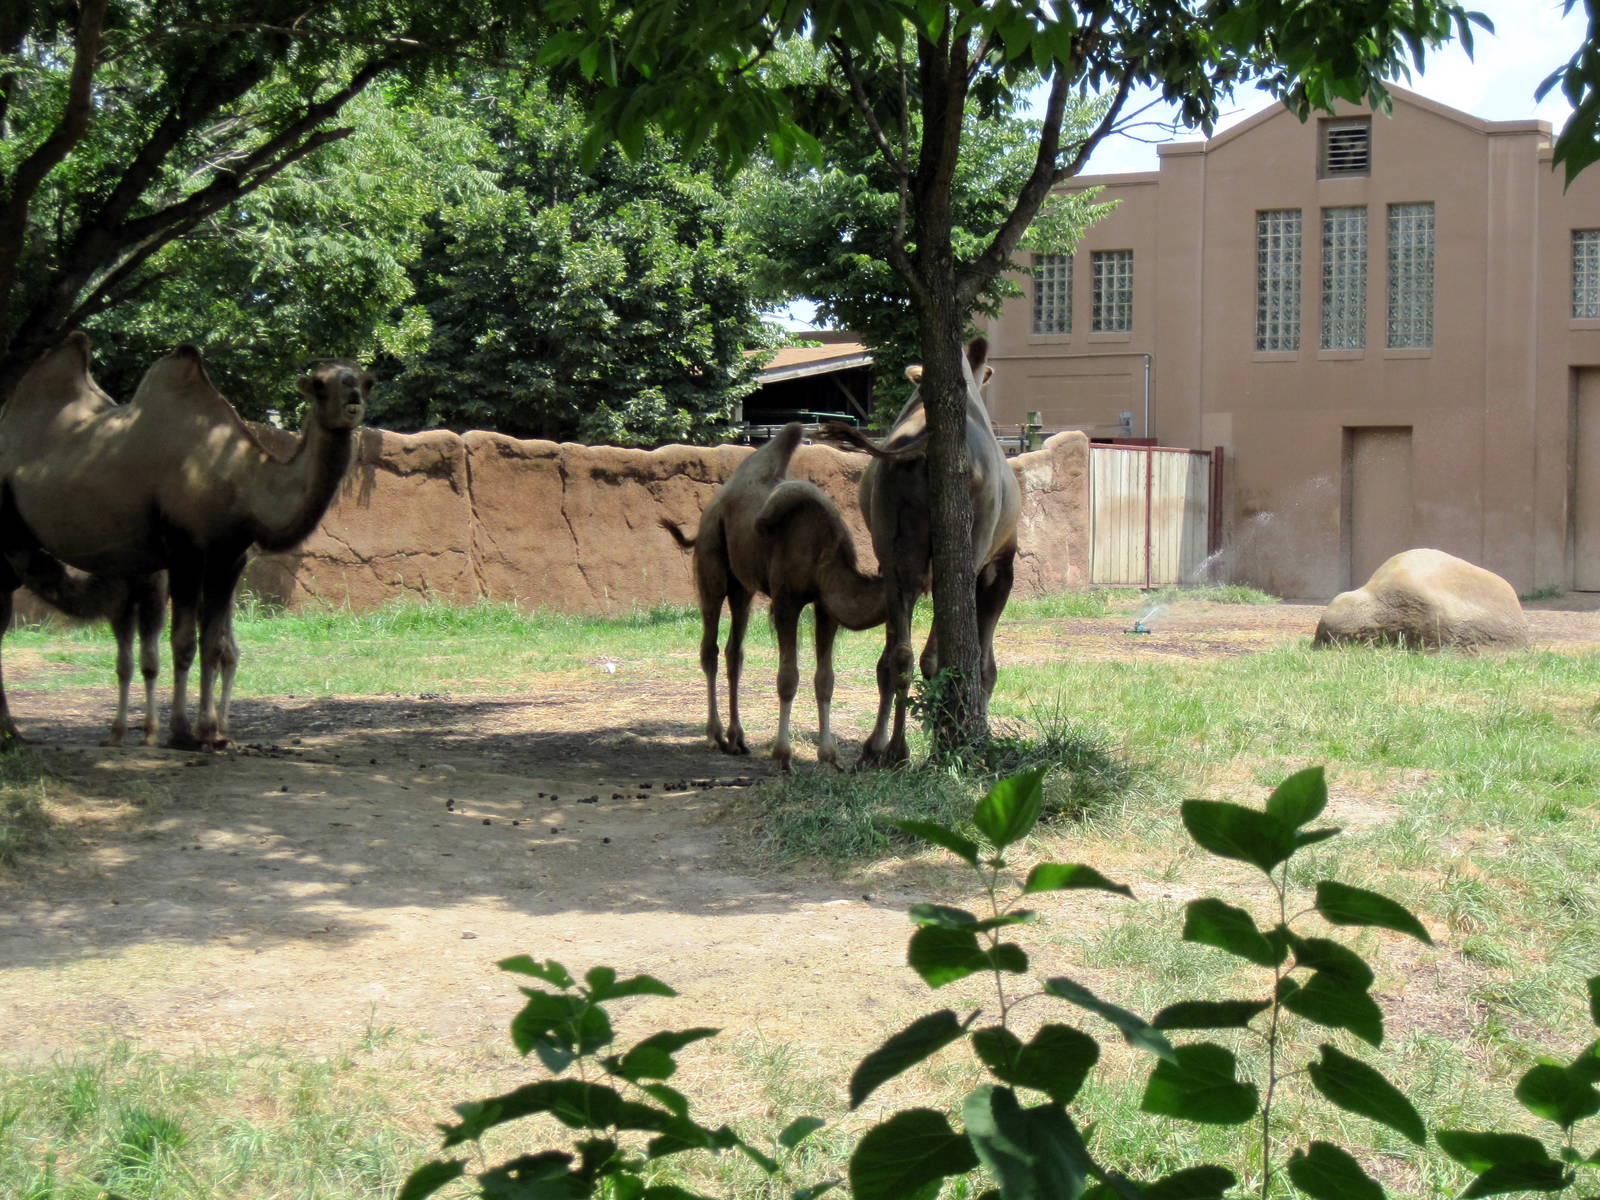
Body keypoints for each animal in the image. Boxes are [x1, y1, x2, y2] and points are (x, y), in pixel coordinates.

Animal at [0, 332, 370, 748]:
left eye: (366, 380)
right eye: (320, 384)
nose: (353, 397)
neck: (240, 480)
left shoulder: (229, 555)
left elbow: (213, 644)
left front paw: (211, 731)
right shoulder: (183, 549)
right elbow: (183, 642)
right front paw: (181, 731)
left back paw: (12, 732)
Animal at [661, 422, 885, 770]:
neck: (825, 552)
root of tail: (713, 505)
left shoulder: (825, 606)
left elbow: (825, 679)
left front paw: (829, 756)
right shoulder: (786, 601)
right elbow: (788, 678)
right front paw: (782, 756)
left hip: (743, 586)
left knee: (735, 651)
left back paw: (737, 739)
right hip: (712, 561)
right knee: (710, 647)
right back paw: (715, 735)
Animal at [824, 336, 1020, 767]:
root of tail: (921, 447)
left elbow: (889, 657)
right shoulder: (1000, 564)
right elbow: (985, 663)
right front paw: (980, 730)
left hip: (896, 553)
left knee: (898, 656)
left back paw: (888, 749)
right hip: (964, 552)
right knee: (935, 657)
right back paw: (931, 743)